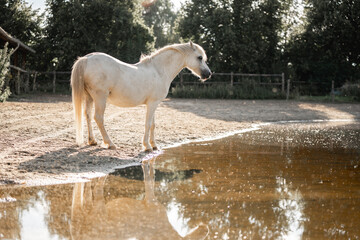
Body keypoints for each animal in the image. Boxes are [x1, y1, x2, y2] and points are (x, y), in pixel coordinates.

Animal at [70, 41, 211, 150]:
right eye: (199, 57)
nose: (208, 74)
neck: (159, 70)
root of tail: (86, 59)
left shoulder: (154, 104)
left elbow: (153, 124)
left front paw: (154, 145)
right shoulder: (152, 103)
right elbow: (147, 124)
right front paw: (147, 146)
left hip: (89, 97)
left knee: (88, 116)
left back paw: (92, 141)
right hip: (100, 98)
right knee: (98, 118)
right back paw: (110, 143)